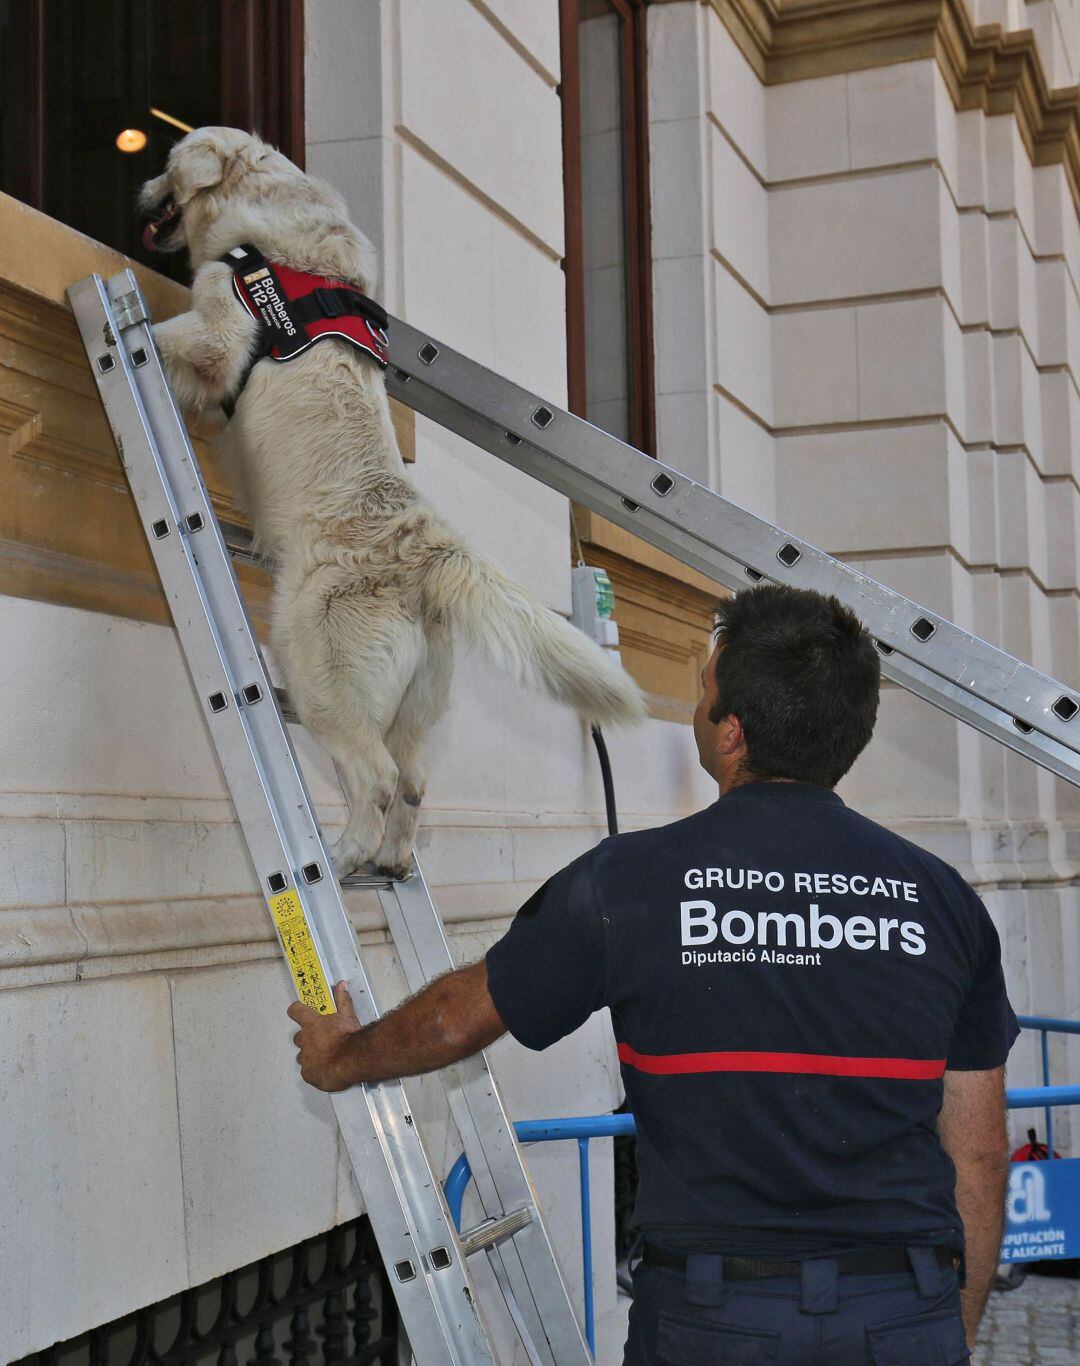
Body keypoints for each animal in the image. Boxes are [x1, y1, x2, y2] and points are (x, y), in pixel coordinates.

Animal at [135, 125, 641, 874]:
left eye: (169, 164)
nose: (140, 188)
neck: (268, 221)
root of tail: (427, 550)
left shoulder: (222, 325)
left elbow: (179, 337)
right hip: (413, 702)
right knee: (414, 780)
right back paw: (393, 860)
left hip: (315, 665)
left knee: (375, 777)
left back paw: (342, 854)